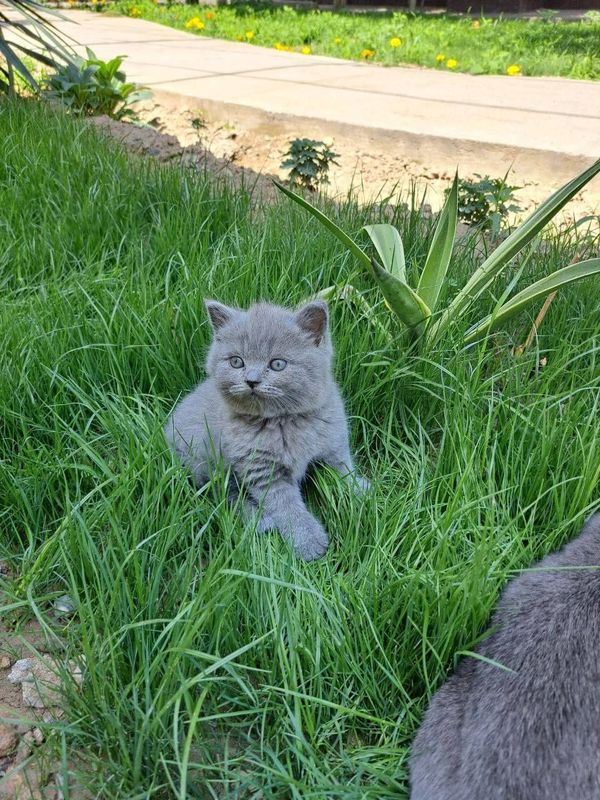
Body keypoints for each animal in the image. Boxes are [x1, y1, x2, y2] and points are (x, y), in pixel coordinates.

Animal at [163, 296, 366, 560]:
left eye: (278, 364)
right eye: (236, 362)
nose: (251, 380)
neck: (285, 421)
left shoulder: (334, 442)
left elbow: (343, 470)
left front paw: (361, 491)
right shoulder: (261, 469)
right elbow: (287, 506)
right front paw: (309, 541)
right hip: (202, 458)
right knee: (223, 494)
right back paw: (261, 521)